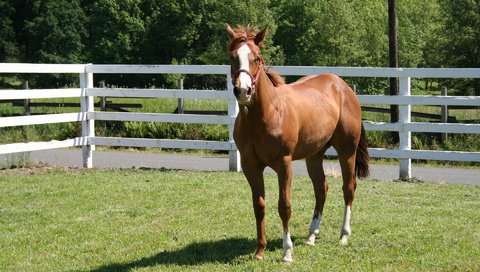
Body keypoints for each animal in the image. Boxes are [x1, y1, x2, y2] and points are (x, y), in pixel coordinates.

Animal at [227, 24, 370, 262]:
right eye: (232, 57)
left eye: (257, 57)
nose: (243, 91)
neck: (265, 115)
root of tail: (343, 86)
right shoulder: (250, 166)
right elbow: (259, 206)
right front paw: (259, 251)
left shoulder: (284, 163)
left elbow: (284, 206)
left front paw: (287, 252)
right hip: (314, 156)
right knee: (321, 189)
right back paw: (312, 235)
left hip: (346, 151)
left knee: (348, 188)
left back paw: (343, 235)